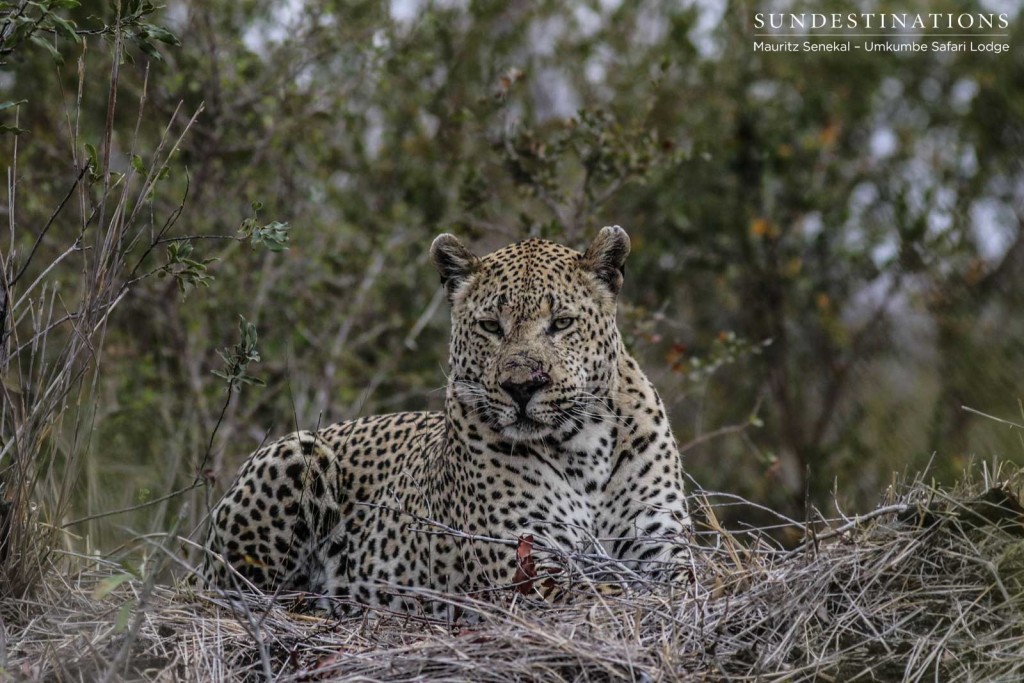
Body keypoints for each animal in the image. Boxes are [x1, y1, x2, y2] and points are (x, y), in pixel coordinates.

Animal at [202, 228, 692, 614]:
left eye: (562, 323)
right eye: (491, 326)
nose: (521, 386)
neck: (581, 446)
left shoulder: (661, 545)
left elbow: (671, 588)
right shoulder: (525, 570)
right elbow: (607, 594)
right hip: (298, 452)